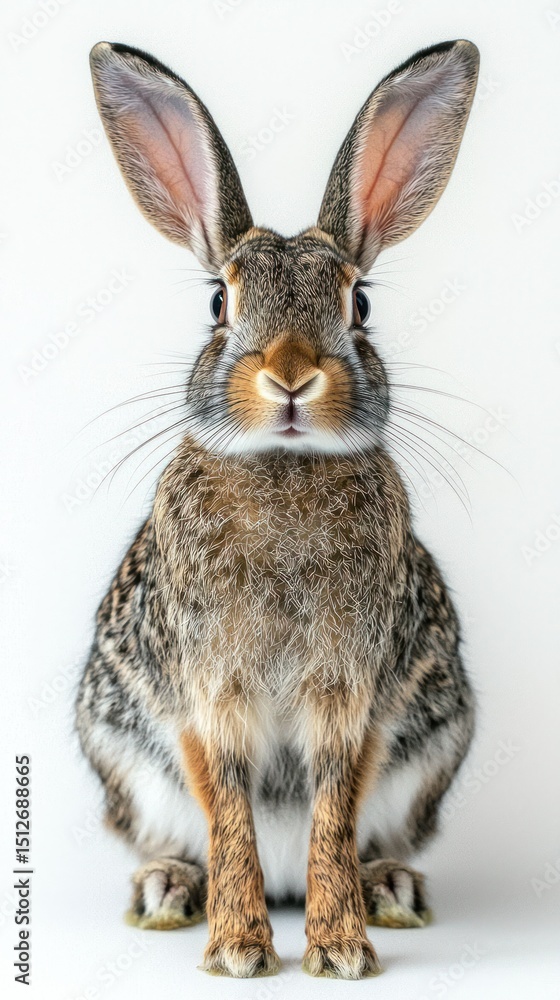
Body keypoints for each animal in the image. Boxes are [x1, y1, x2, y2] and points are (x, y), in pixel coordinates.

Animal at [76, 39, 480, 980]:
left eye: (358, 303)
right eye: (218, 304)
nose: (291, 375)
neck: (285, 468)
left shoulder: (352, 696)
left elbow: (334, 807)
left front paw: (338, 950)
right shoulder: (205, 695)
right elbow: (227, 808)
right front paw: (237, 949)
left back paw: (387, 889)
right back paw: (168, 889)